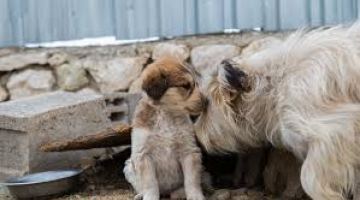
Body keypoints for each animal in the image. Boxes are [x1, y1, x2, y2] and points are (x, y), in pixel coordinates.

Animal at [124, 56, 210, 200]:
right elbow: (150, 183)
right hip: (129, 167)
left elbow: (191, 180)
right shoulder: (143, 155)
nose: (207, 102)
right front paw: (149, 197)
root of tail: (166, 192)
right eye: (185, 86)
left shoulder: (189, 151)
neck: (166, 114)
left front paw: (195, 196)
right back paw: (141, 195)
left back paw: (179, 193)